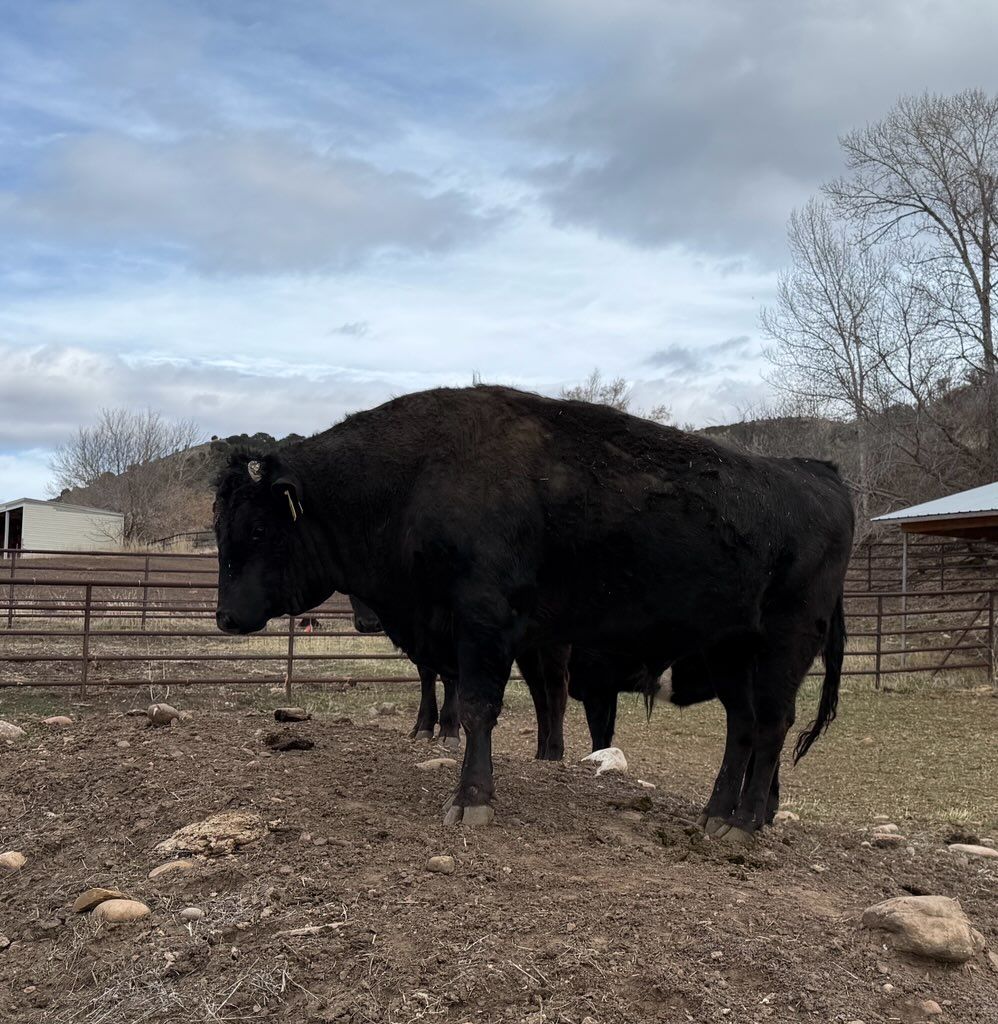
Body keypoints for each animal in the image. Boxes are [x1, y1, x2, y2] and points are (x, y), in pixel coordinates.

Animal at [214, 385, 853, 841]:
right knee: (742, 727)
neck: (414, 478)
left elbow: (479, 709)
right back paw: (716, 816)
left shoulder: (484, 628)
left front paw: (471, 800)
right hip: (729, 652)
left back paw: (744, 825)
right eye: (222, 528)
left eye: (260, 527)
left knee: (771, 725)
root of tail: (819, 472)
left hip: (783, 647)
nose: (224, 617)